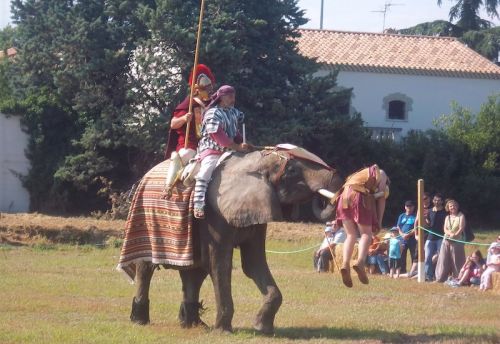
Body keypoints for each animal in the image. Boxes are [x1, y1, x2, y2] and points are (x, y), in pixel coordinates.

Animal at [127, 147, 342, 334]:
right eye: (292, 170)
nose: (322, 198)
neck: (254, 162)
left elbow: (253, 263)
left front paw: (262, 328)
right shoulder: (214, 215)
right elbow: (219, 264)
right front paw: (223, 331)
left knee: (194, 272)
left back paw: (194, 324)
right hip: (145, 219)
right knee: (145, 268)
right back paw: (140, 320)